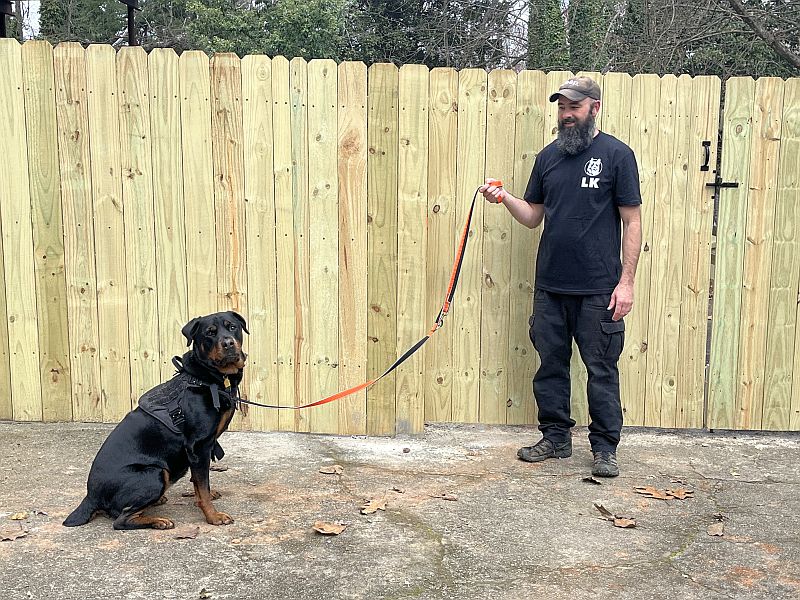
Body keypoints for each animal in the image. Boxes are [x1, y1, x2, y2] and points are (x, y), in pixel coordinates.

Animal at [64, 312, 248, 528]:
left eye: (233, 327)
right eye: (210, 333)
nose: (228, 343)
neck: (207, 378)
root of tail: (91, 496)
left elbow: (198, 483)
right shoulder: (198, 446)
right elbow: (202, 487)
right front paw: (213, 516)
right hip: (156, 473)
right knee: (121, 520)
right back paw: (158, 521)